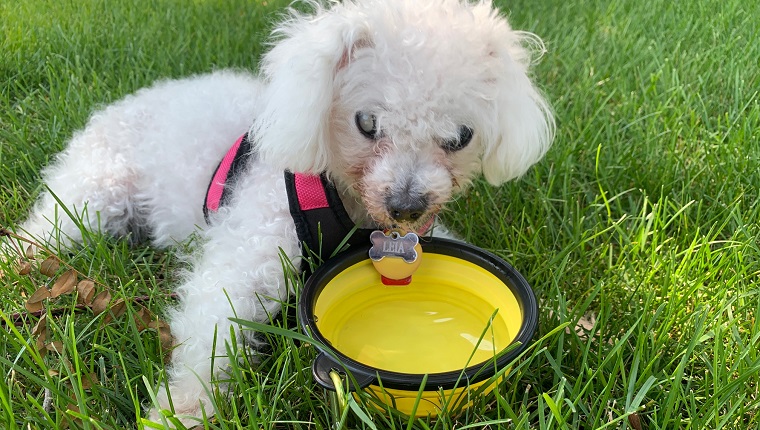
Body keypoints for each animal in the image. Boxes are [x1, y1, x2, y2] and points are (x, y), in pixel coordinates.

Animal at [16, 0, 552, 424]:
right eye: (366, 122)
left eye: (460, 137)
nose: (405, 208)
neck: (343, 197)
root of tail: (121, 105)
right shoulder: (248, 254)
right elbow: (212, 330)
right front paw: (184, 408)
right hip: (92, 193)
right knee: (41, 230)